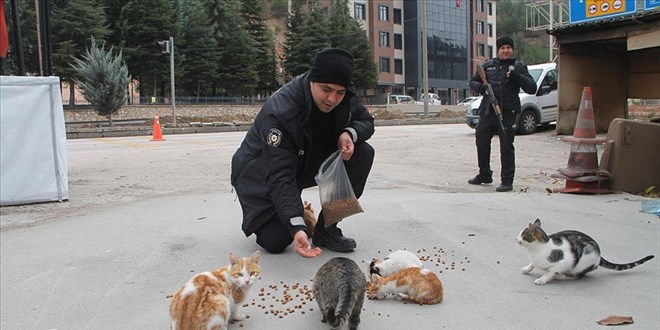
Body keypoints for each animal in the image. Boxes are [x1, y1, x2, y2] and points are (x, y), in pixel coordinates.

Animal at [516, 218, 656, 284]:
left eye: (523, 235)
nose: (516, 238)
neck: (538, 249)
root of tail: (600, 254)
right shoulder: (536, 260)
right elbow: (532, 264)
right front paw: (527, 268)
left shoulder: (563, 263)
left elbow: (550, 272)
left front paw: (542, 279)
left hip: (582, 263)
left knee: (577, 275)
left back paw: (561, 276)